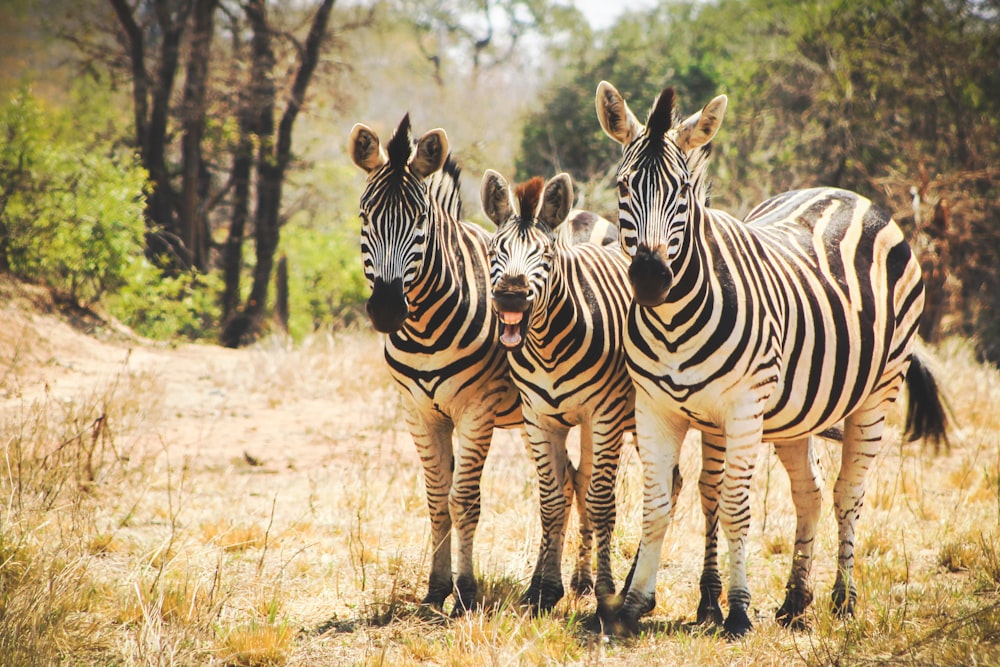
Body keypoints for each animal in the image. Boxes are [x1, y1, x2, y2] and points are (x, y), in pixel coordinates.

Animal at [480, 170, 636, 624]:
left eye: (545, 255)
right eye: (494, 250)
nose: (511, 295)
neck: (547, 346)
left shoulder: (605, 414)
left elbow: (601, 502)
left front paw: (607, 594)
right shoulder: (538, 419)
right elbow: (553, 500)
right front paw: (544, 590)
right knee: (580, 480)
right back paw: (582, 580)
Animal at [596, 79, 948, 636]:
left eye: (682, 192)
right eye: (623, 186)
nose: (651, 279)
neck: (672, 321)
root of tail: (845, 194)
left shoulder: (740, 410)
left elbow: (735, 507)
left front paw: (737, 611)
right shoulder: (654, 408)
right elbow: (656, 506)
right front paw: (632, 606)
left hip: (878, 391)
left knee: (848, 494)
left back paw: (843, 600)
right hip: (795, 413)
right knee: (810, 492)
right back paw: (796, 600)